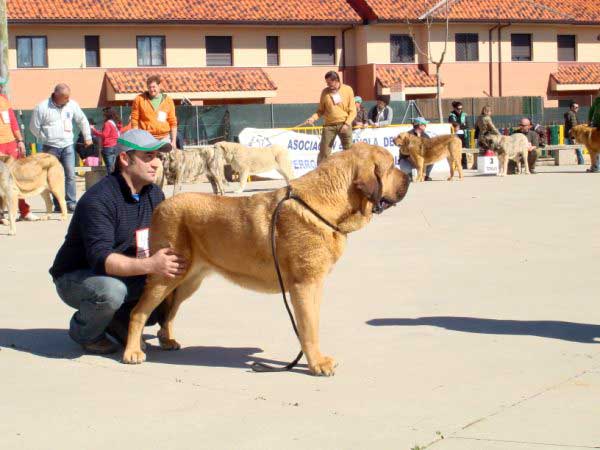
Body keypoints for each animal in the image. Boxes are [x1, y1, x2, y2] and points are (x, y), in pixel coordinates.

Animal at [122, 144, 412, 376]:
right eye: (391, 167)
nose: (409, 176)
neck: (327, 203)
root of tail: (161, 205)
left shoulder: (315, 284)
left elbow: (312, 323)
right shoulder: (305, 285)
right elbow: (309, 326)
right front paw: (317, 364)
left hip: (188, 280)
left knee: (169, 311)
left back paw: (167, 340)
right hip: (166, 275)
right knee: (139, 312)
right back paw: (132, 352)